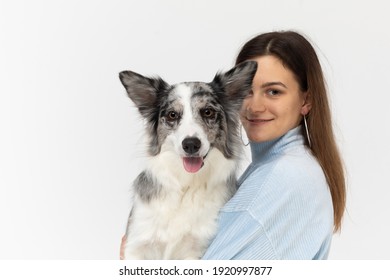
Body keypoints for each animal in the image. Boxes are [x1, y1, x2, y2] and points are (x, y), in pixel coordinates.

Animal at [120, 60, 258, 260]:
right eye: (172, 115)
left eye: (207, 112)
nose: (191, 144)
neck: (186, 186)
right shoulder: (138, 245)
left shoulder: (195, 250)